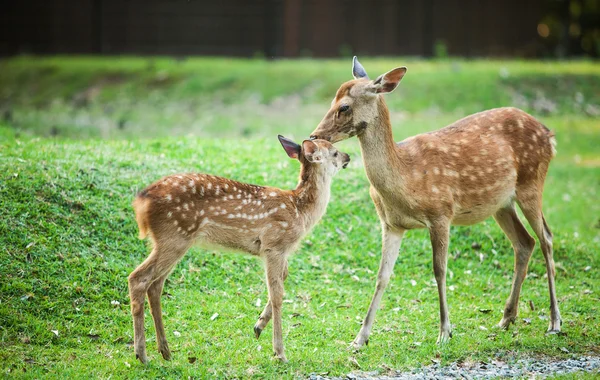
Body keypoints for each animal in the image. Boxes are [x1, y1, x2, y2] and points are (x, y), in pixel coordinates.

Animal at [127, 135, 352, 364]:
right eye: (334, 152)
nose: (348, 157)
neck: (300, 211)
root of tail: (141, 201)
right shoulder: (274, 245)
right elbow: (277, 294)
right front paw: (279, 352)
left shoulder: (280, 252)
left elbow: (283, 278)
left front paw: (259, 325)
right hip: (174, 236)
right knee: (138, 278)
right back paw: (142, 354)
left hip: (169, 241)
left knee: (155, 285)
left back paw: (165, 351)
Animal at [310, 55, 564, 348]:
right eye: (332, 100)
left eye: (344, 106)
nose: (314, 135)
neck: (406, 180)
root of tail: (550, 136)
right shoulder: (391, 224)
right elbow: (382, 276)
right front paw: (360, 337)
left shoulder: (441, 213)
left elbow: (439, 270)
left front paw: (444, 331)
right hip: (501, 203)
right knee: (524, 242)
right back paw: (506, 318)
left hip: (531, 182)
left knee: (546, 238)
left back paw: (554, 321)